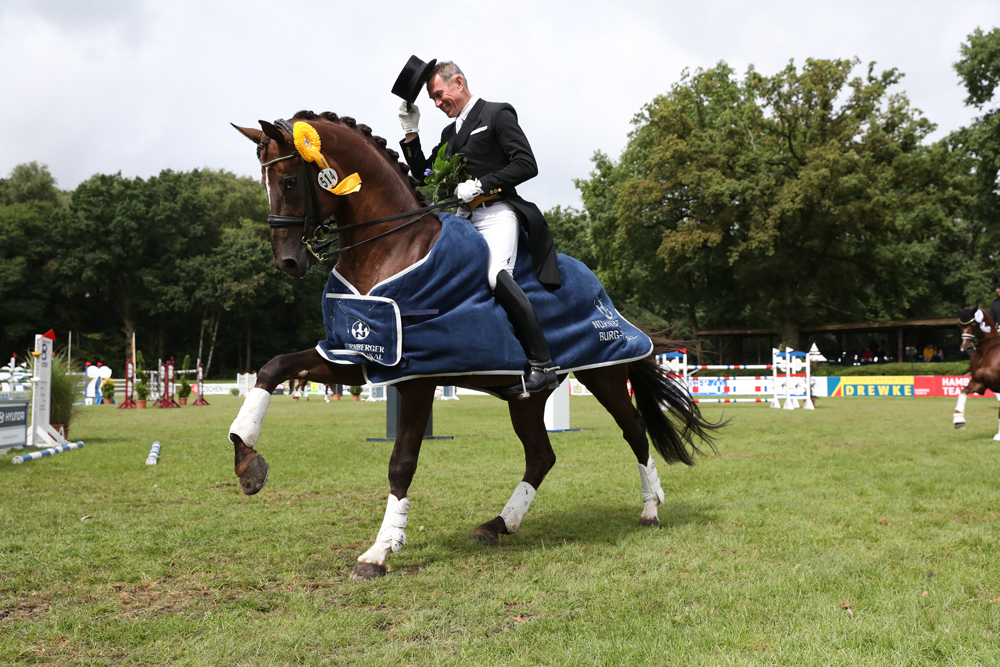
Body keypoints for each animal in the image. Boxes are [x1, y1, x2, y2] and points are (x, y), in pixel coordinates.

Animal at [231, 109, 724, 580]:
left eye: (290, 180)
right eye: (265, 183)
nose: (287, 261)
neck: (391, 247)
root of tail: (601, 288)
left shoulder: (417, 375)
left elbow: (401, 462)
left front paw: (379, 552)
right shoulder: (357, 355)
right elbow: (274, 368)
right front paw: (248, 463)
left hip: (603, 371)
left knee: (634, 430)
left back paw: (650, 507)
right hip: (527, 395)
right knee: (541, 455)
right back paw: (500, 524)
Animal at [952, 306, 1000, 440]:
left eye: (974, 325)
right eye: (959, 325)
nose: (965, 348)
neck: (988, 353)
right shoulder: (979, 382)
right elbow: (963, 391)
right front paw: (958, 420)